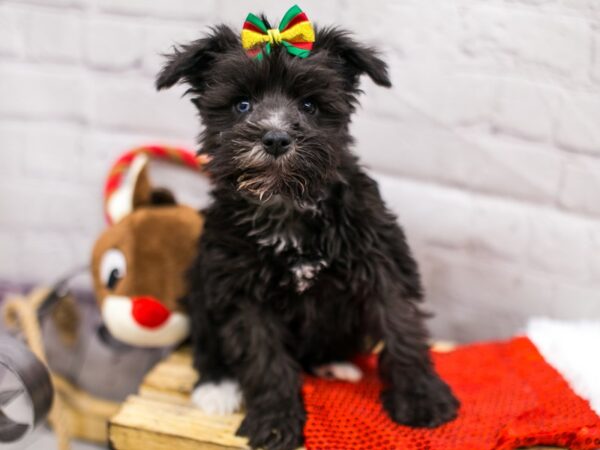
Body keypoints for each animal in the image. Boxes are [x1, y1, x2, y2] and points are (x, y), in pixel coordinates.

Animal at [156, 10, 460, 450]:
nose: (276, 137)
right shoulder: (242, 293)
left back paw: (335, 363)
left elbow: (402, 329)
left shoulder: (382, 264)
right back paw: (217, 387)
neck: (288, 206)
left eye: (310, 105)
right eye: (242, 104)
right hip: (201, 282)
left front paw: (422, 397)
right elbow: (265, 362)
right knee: (207, 344)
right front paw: (276, 421)